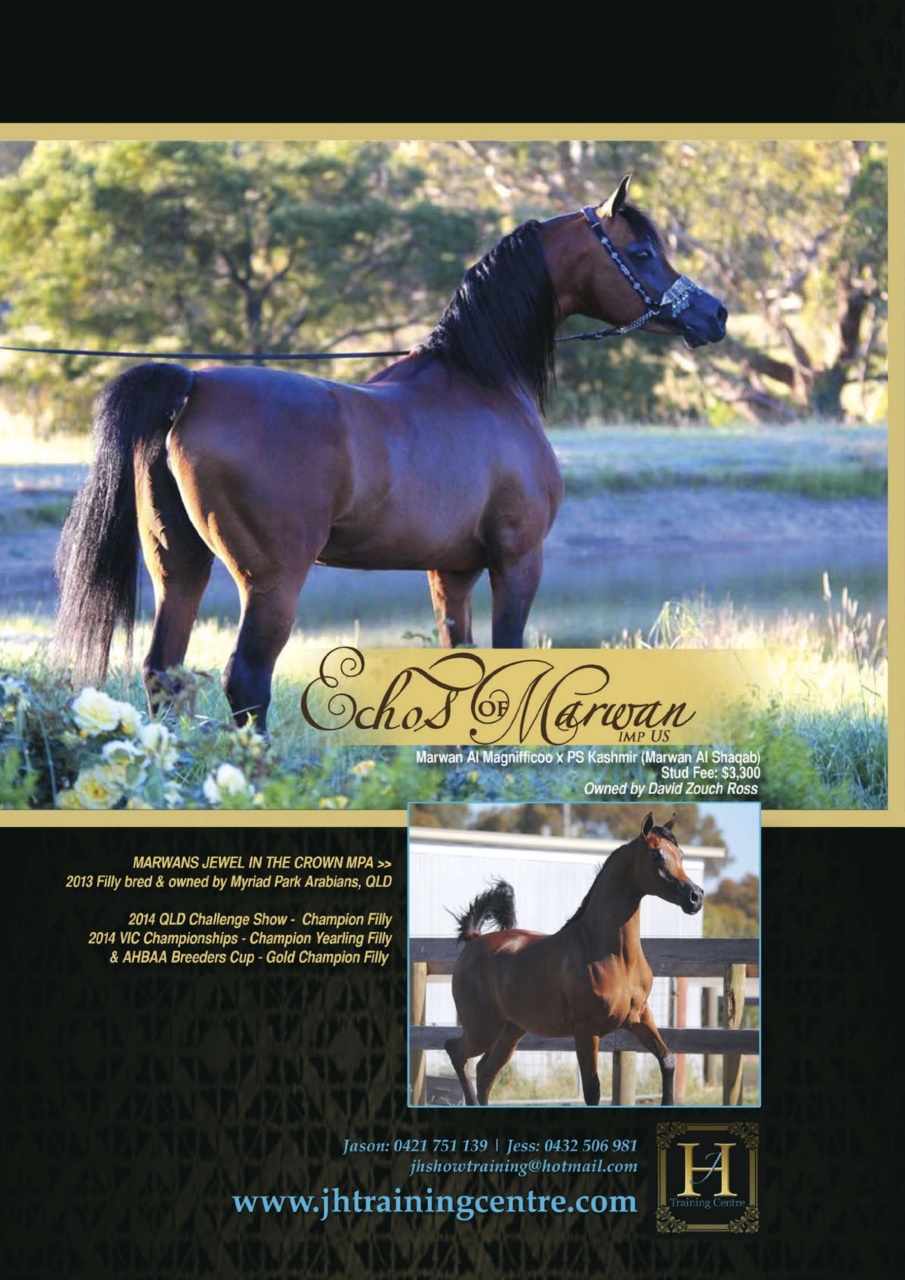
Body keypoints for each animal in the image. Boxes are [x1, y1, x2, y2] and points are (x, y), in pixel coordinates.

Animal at [54, 176, 727, 729]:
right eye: (641, 254)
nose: (714, 314)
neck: (480, 379)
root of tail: (194, 386)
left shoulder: (451, 571)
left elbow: (464, 666)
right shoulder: (517, 560)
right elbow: (507, 658)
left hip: (180, 566)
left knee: (163, 671)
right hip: (271, 581)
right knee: (245, 679)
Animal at [445, 812, 704, 1106]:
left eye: (680, 854)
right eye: (657, 856)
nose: (695, 897)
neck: (616, 958)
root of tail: (474, 939)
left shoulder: (639, 1018)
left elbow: (667, 1060)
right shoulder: (586, 1031)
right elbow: (592, 1090)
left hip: (510, 1031)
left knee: (484, 1071)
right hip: (482, 1029)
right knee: (456, 1053)